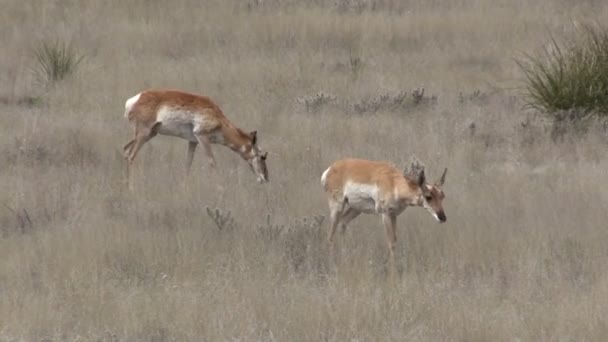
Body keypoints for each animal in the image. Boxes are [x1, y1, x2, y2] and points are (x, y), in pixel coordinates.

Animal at [122, 89, 268, 187]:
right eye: (263, 156)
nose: (266, 179)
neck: (219, 118)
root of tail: (134, 99)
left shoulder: (192, 141)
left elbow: (188, 164)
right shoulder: (202, 137)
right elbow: (212, 162)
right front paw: (219, 187)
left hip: (150, 134)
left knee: (126, 149)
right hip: (143, 133)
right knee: (131, 155)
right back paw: (131, 188)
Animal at [318, 159, 446, 258]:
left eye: (442, 195)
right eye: (428, 196)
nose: (442, 217)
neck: (394, 183)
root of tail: (331, 168)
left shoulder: (394, 215)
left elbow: (395, 240)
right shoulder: (386, 214)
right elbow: (391, 243)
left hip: (356, 209)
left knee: (342, 223)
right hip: (337, 207)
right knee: (330, 235)